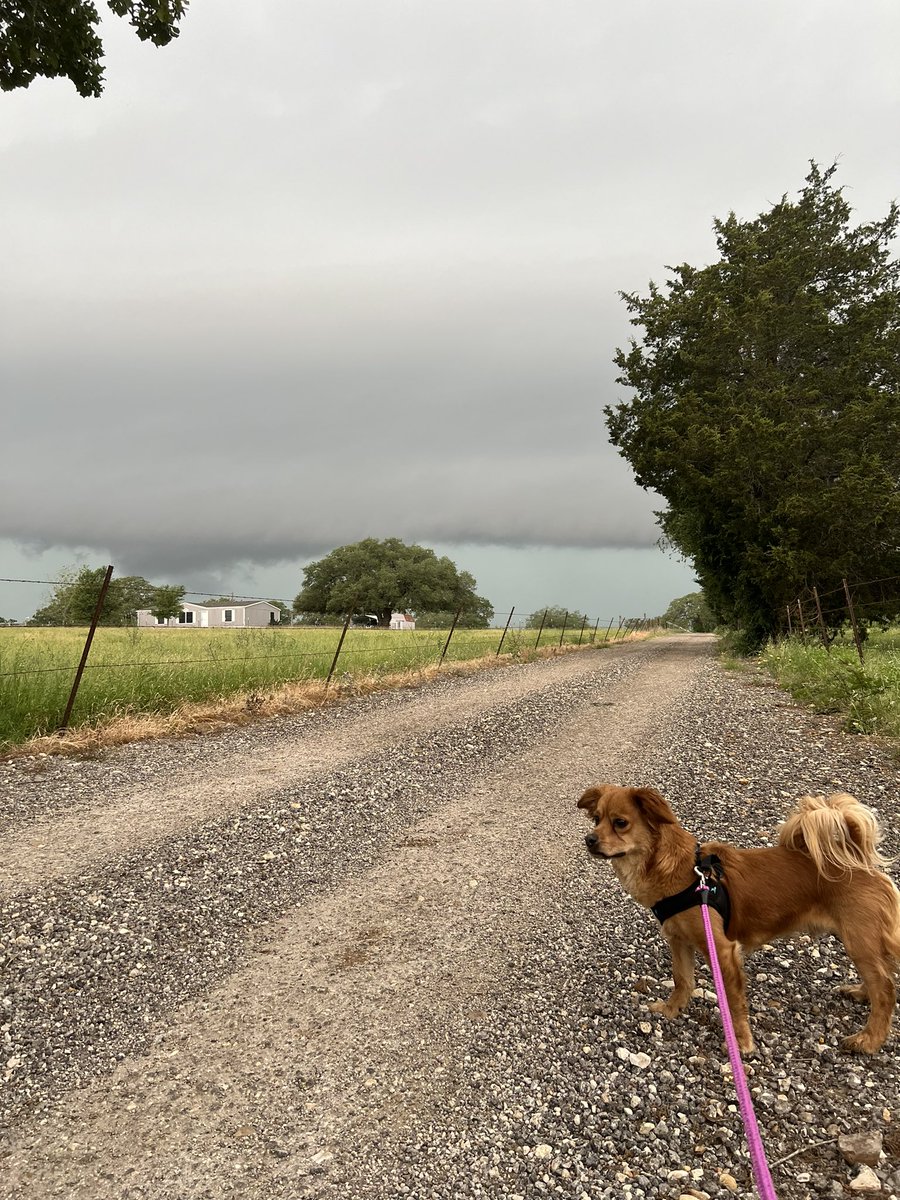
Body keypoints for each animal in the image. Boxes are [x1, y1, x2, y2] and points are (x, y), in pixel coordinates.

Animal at [578, 787, 900, 1051]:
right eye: (596, 819)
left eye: (620, 822)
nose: (589, 839)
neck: (681, 873)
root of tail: (859, 860)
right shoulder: (679, 941)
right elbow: (682, 979)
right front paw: (672, 1010)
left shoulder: (722, 950)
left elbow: (733, 1004)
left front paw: (742, 1043)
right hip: (860, 942)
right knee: (880, 979)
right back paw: (860, 994)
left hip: (859, 940)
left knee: (885, 988)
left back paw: (869, 1040)